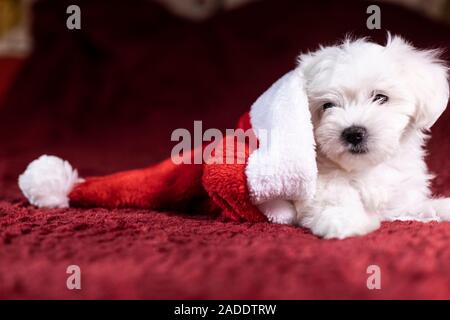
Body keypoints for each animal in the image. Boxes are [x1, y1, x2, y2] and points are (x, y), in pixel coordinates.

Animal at [258, 35, 448, 240]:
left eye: (381, 97)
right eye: (327, 105)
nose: (354, 133)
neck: (366, 168)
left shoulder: (399, 199)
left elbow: (412, 207)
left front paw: (441, 207)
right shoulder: (314, 185)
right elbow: (334, 194)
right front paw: (345, 219)